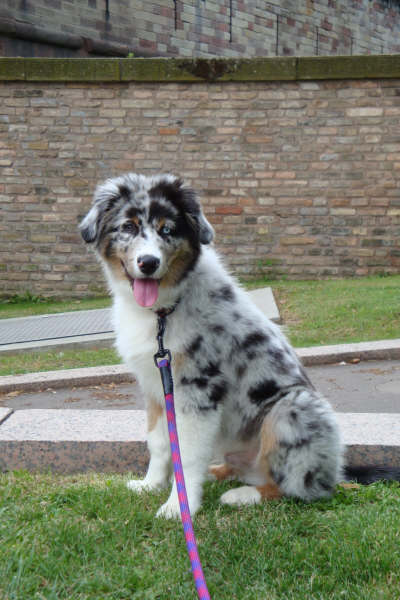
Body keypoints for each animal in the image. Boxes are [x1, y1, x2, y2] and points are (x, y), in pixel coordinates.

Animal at [79, 173, 397, 518]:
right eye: (128, 226)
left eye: (168, 230)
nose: (148, 262)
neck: (164, 309)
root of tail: (336, 474)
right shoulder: (156, 388)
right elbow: (160, 443)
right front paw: (150, 485)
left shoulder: (199, 389)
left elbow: (187, 454)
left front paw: (179, 507)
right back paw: (216, 473)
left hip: (292, 408)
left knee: (297, 488)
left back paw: (244, 495)